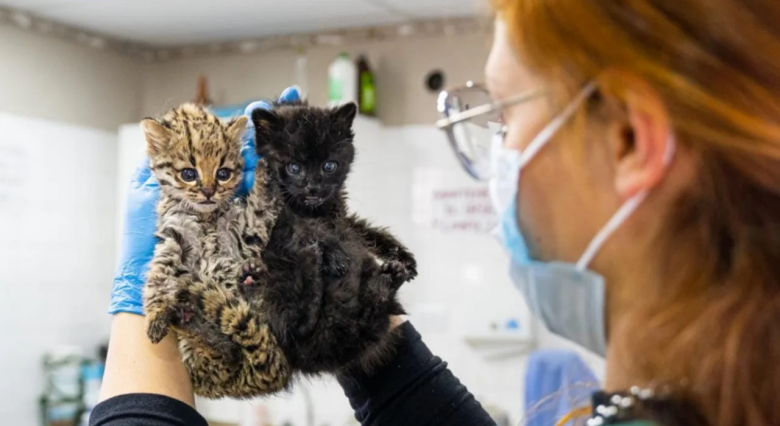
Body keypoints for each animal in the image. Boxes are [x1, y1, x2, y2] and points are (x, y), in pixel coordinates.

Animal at [140, 104, 290, 400]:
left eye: (223, 173)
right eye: (188, 174)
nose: (209, 191)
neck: (206, 217)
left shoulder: (247, 231)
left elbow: (260, 208)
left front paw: (267, 169)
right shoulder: (172, 237)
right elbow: (159, 274)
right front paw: (157, 314)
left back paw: (251, 281)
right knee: (227, 352)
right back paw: (189, 319)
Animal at [247, 101, 418, 374]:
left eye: (329, 166)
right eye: (294, 168)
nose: (313, 187)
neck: (313, 209)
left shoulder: (341, 216)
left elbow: (364, 230)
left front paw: (402, 255)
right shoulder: (265, 216)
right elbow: (304, 227)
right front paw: (334, 254)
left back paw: (391, 277)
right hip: (273, 283)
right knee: (294, 325)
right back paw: (314, 262)